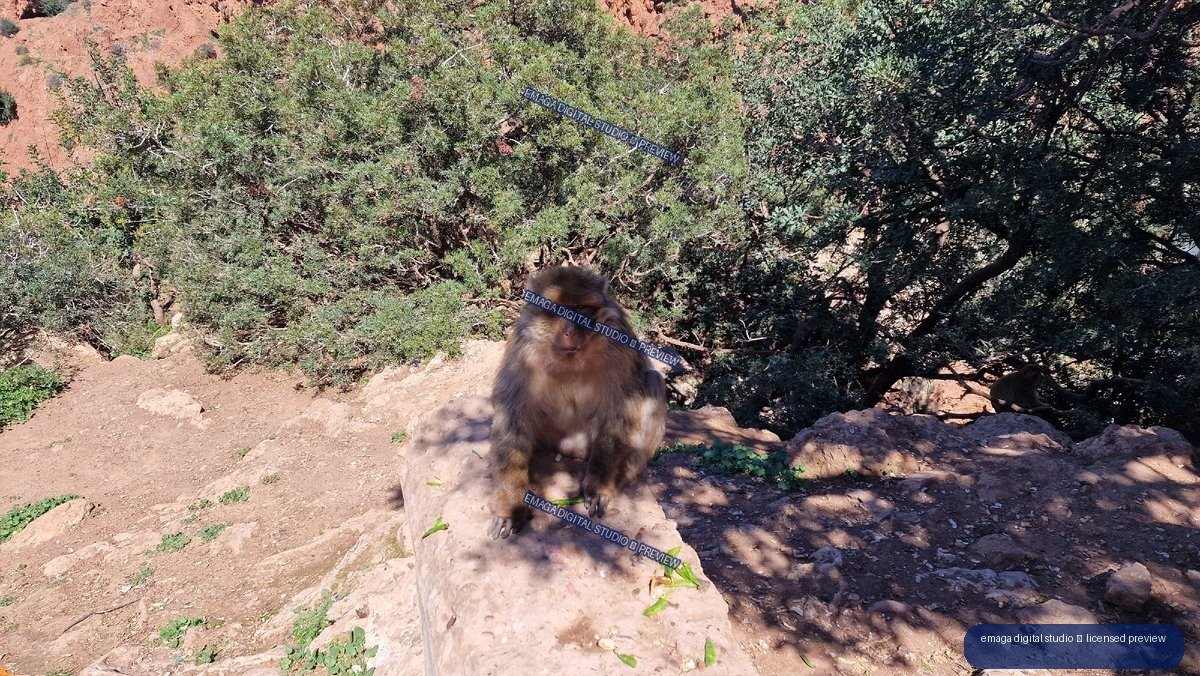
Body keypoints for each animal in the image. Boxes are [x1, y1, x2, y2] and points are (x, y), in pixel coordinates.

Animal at [487, 266, 666, 540]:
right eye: (557, 310)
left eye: (581, 309)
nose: (571, 331)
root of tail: (572, 450)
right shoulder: (522, 349)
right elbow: (511, 413)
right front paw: (511, 504)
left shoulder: (620, 342)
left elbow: (620, 410)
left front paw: (599, 484)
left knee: (653, 381)